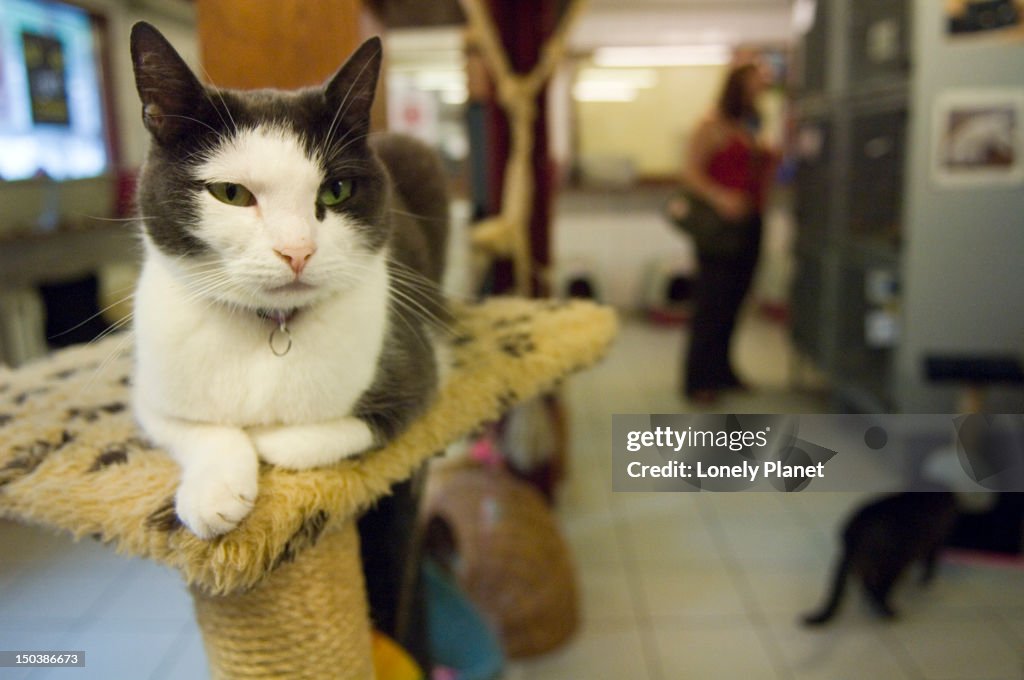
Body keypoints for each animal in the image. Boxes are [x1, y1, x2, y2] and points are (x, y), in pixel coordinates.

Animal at [128, 23, 448, 540]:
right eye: (231, 193)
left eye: (335, 191)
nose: (297, 250)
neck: (270, 327)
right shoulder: (148, 391)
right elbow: (196, 426)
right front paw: (213, 495)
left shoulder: (417, 370)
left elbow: (306, 437)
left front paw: (264, 435)